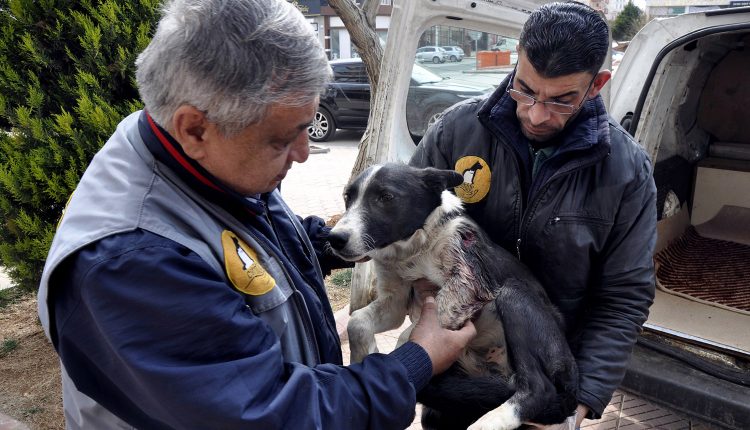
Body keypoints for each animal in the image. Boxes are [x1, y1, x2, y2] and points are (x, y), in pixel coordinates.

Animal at [328, 164, 580, 430]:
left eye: (386, 197)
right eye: (348, 197)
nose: (335, 238)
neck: (413, 250)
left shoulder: (468, 286)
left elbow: (413, 332)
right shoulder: (394, 302)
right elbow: (357, 321)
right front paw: (361, 357)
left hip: (514, 296)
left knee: (539, 387)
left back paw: (489, 422)